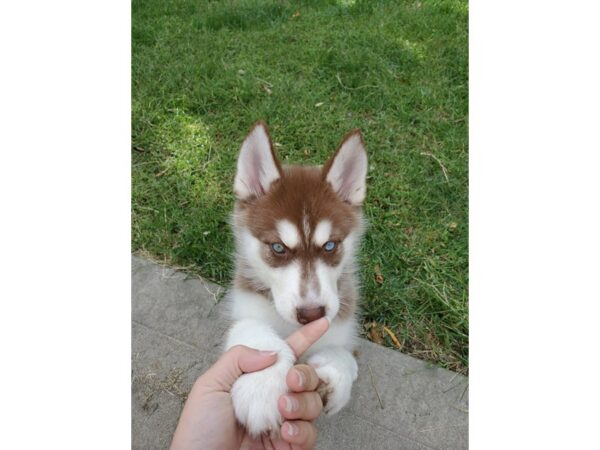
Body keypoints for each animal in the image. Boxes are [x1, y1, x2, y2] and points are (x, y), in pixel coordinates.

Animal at [224, 122, 366, 436]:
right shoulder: (246, 306)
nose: (311, 314)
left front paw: (335, 376)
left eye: (330, 245)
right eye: (278, 247)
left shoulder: (343, 326)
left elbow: (345, 357)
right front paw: (261, 385)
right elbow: (253, 333)